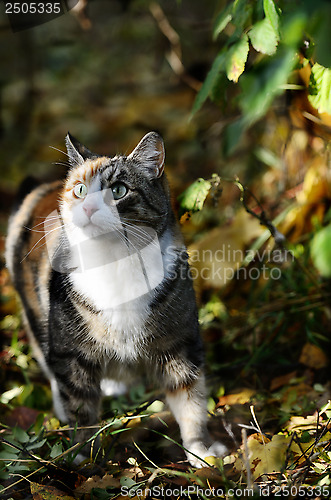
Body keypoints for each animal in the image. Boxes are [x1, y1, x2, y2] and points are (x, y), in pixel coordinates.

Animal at [5, 133, 227, 468]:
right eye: (80, 190)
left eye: (119, 190)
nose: (87, 207)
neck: (116, 262)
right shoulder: (70, 355)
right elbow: (80, 407)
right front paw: (81, 455)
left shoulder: (180, 345)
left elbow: (191, 399)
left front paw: (201, 450)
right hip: (36, 317)